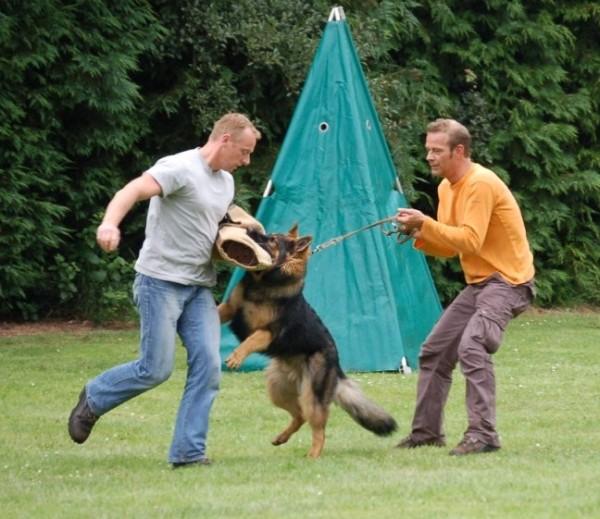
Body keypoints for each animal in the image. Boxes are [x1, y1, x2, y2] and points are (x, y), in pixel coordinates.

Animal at [217, 224, 397, 458]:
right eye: (268, 233)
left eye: (272, 240)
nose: (250, 230)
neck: (263, 283)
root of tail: (336, 365)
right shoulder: (230, 309)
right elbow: (218, 311)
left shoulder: (269, 331)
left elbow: (252, 339)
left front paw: (236, 356)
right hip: (278, 390)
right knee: (300, 415)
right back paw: (282, 438)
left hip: (312, 396)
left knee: (318, 428)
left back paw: (313, 455)